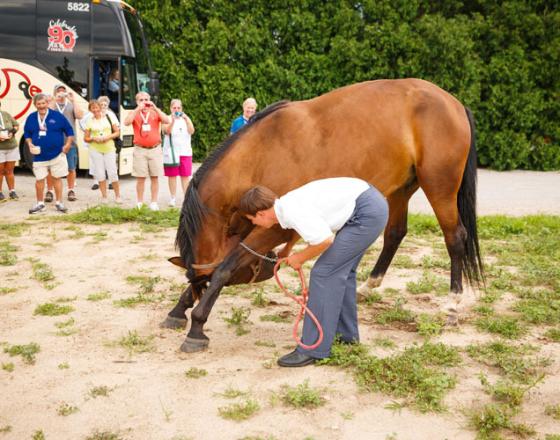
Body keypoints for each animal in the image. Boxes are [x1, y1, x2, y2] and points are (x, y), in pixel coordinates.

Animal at [162, 80, 482, 354]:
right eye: (197, 284)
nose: (267, 267)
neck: (260, 154)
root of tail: (454, 103)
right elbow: (223, 264)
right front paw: (180, 308)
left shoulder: (274, 227)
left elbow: (225, 268)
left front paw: (197, 325)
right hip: (401, 189)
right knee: (395, 233)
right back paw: (369, 285)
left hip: (439, 186)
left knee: (455, 238)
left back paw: (452, 304)